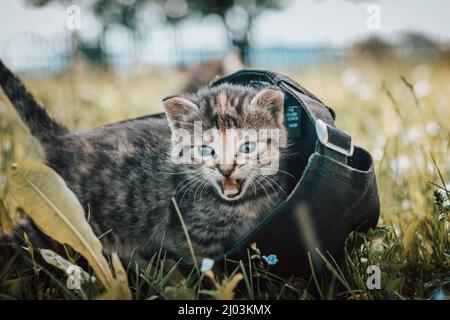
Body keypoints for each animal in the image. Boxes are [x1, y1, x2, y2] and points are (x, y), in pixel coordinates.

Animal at [0, 59, 288, 262]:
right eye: (206, 150)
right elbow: (208, 271)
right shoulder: (190, 236)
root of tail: (67, 139)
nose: (226, 170)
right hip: (60, 220)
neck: (242, 204)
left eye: (247, 146)